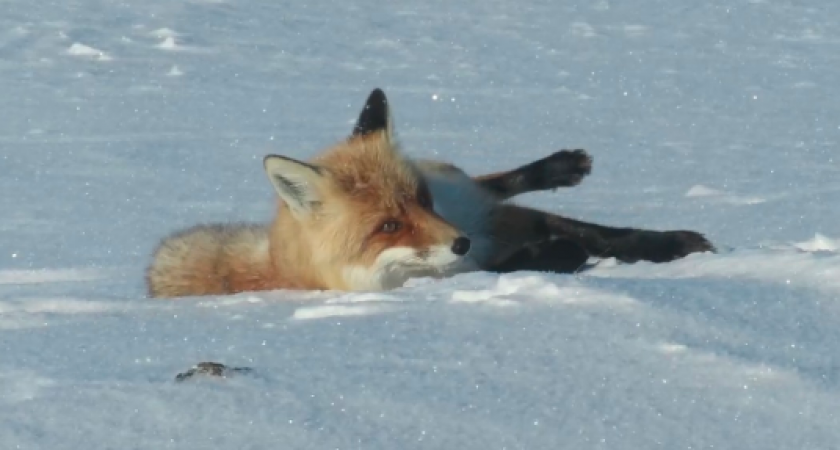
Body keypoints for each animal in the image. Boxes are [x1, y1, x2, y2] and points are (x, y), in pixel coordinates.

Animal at [146, 88, 716, 298]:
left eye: (421, 201)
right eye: (387, 226)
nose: (460, 241)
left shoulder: (476, 216)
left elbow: (610, 233)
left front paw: (677, 244)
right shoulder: (478, 257)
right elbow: (551, 253)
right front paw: (561, 254)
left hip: (470, 192)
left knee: (494, 181)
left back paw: (563, 166)